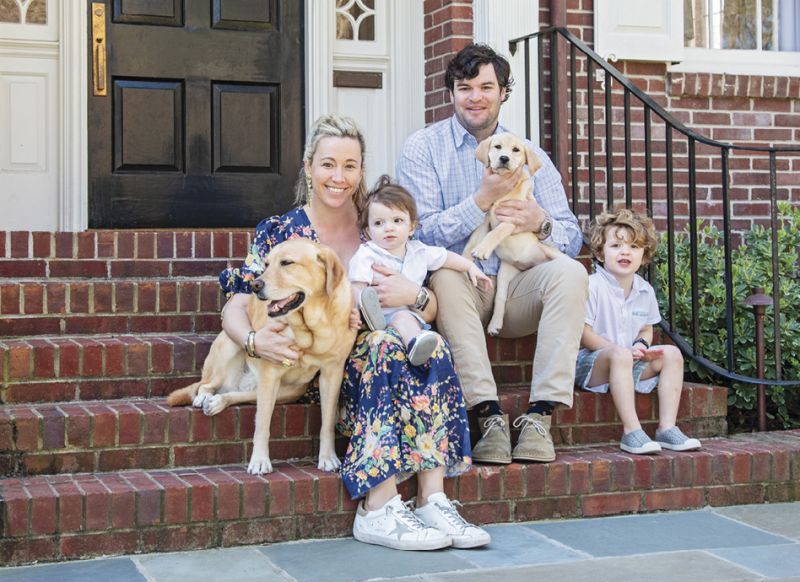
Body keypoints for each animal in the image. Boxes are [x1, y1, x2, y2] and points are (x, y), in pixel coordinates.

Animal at [167, 240, 354, 476]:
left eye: (287, 263)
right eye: (266, 264)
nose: (255, 285)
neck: (309, 329)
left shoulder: (332, 372)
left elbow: (327, 422)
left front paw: (328, 457)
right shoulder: (270, 372)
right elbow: (263, 423)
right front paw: (259, 461)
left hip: (290, 391)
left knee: (239, 395)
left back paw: (218, 401)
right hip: (230, 348)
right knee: (206, 384)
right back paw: (204, 397)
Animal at [462, 131, 564, 336]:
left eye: (516, 150)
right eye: (497, 147)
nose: (504, 158)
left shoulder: (513, 218)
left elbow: (495, 233)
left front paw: (482, 250)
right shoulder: (484, 220)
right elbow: (473, 241)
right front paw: (466, 258)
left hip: (553, 254)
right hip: (504, 274)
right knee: (500, 298)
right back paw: (494, 324)